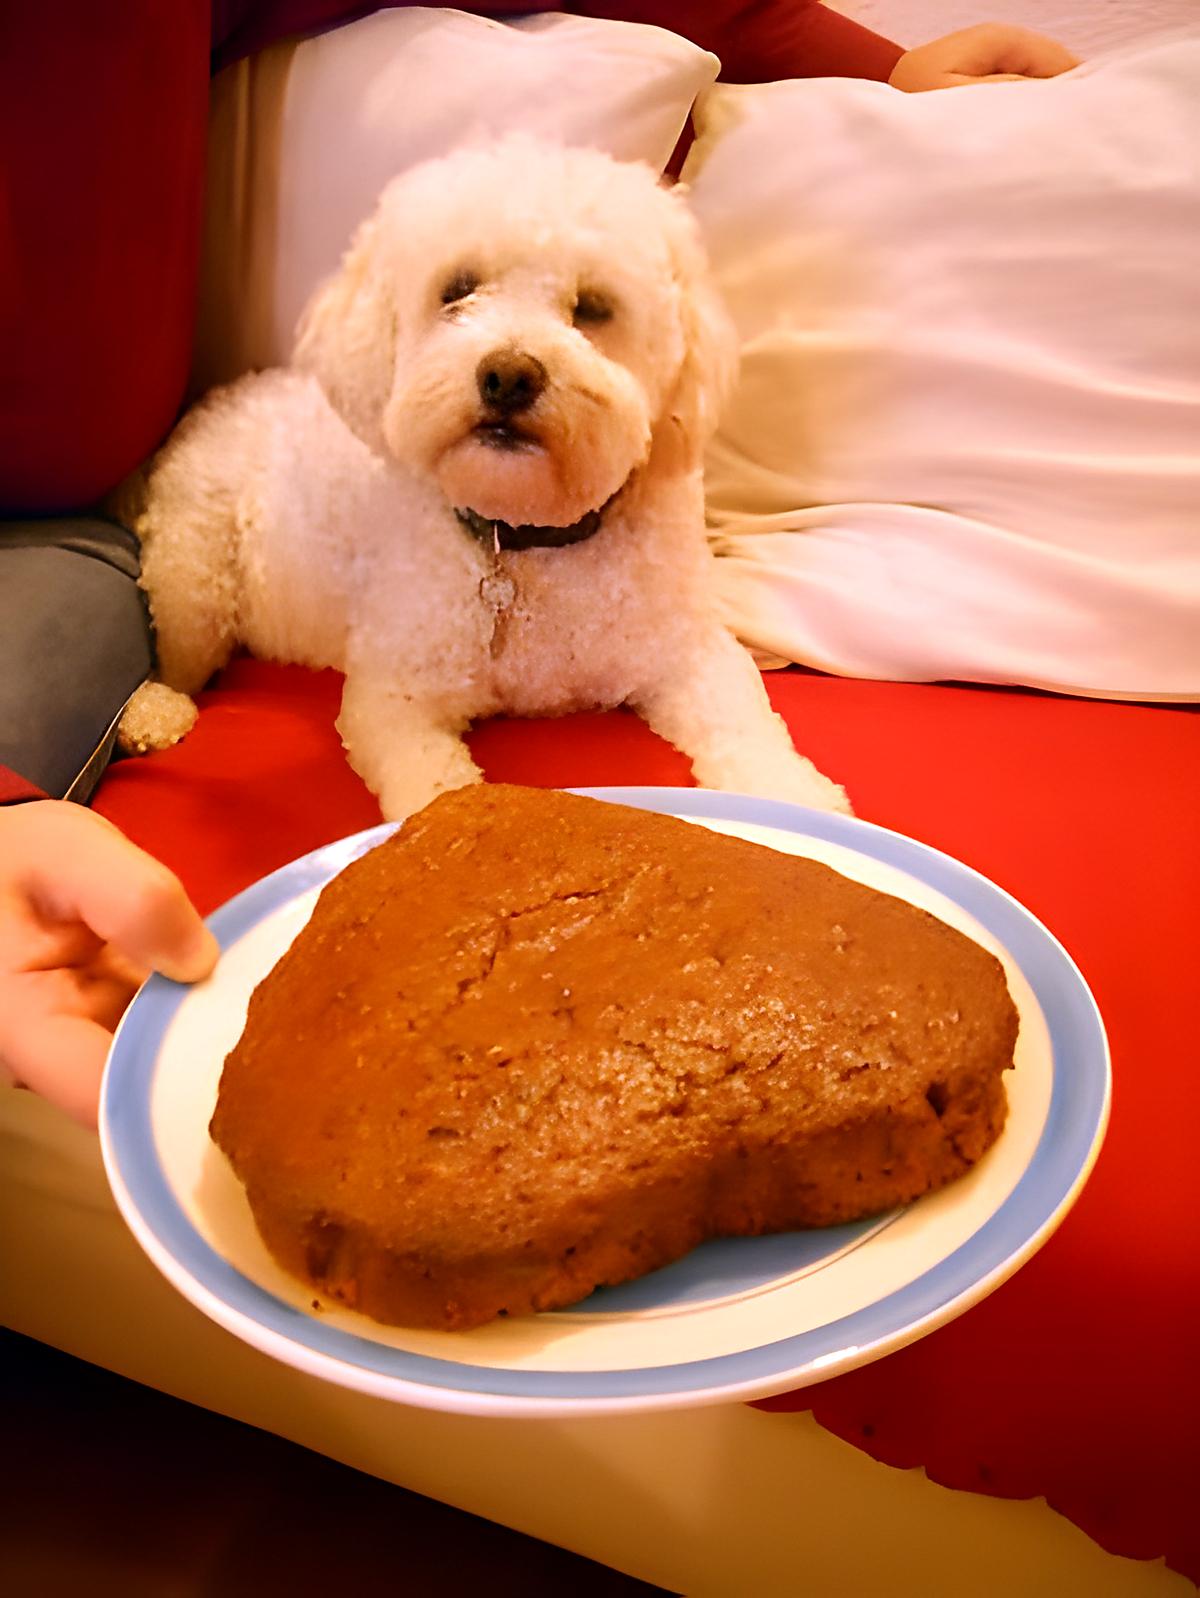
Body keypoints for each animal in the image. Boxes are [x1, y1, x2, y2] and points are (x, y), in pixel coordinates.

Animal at [122, 137, 850, 824]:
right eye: (457, 290)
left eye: (593, 307)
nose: (508, 374)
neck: (525, 531)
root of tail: (220, 402)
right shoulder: (394, 697)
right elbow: (430, 787)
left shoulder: (691, 651)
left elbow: (751, 727)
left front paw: (798, 804)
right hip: (196, 577)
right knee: (178, 659)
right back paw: (154, 713)